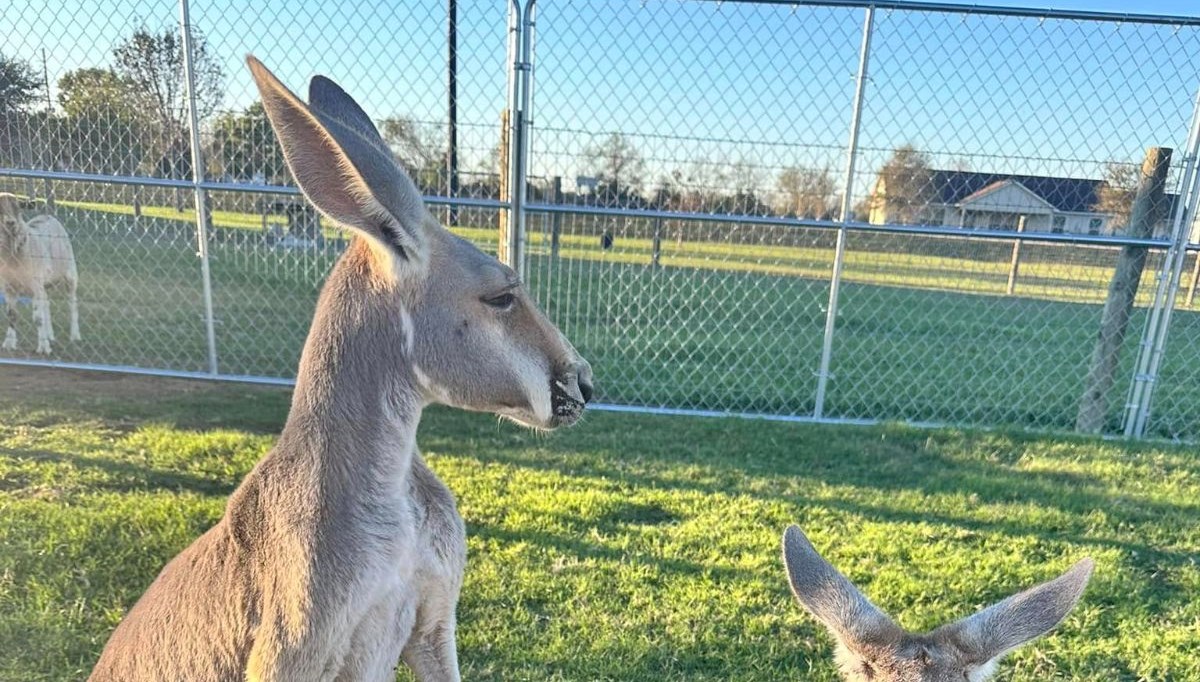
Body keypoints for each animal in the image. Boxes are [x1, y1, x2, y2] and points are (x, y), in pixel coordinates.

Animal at [0, 190, 79, 350]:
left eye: (18, 207)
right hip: (44, 282)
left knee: (72, 303)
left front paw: (43, 347)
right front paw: (9, 343)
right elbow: (11, 315)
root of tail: (47, 216)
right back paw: (50, 335)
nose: (11, 223)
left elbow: (37, 317)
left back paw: (74, 336)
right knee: (46, 303)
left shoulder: (35, 285)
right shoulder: (8, 287)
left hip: (70, 273)